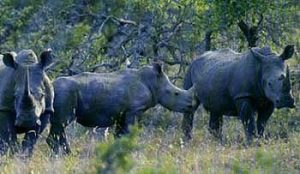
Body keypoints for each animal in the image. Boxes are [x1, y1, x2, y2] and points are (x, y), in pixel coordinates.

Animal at [47, 62, 196, 154]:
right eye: (176, 93)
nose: (191, 106)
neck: (154, 83)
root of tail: (51, 85)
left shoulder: (122, 113)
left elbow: (119, 135)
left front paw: (119, 150)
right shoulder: (134, 109)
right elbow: (129, 132)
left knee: (58, 127)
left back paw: (62, 154)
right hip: (65, 94)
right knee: (61, 124)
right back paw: (66, 155)